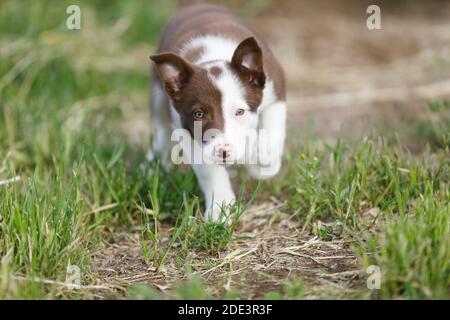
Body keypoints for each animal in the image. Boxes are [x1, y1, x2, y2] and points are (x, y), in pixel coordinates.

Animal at [149, 1, 286, 221]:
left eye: (240, 112)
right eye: (198, 114)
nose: (224, 152)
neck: (213, 57)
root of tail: (193, 5)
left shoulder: (275, 93)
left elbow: (269, 139)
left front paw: (258, 164)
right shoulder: (185, 128)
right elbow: (208, 170)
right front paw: (220, 208)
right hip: (158, 96)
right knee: (161, 132)